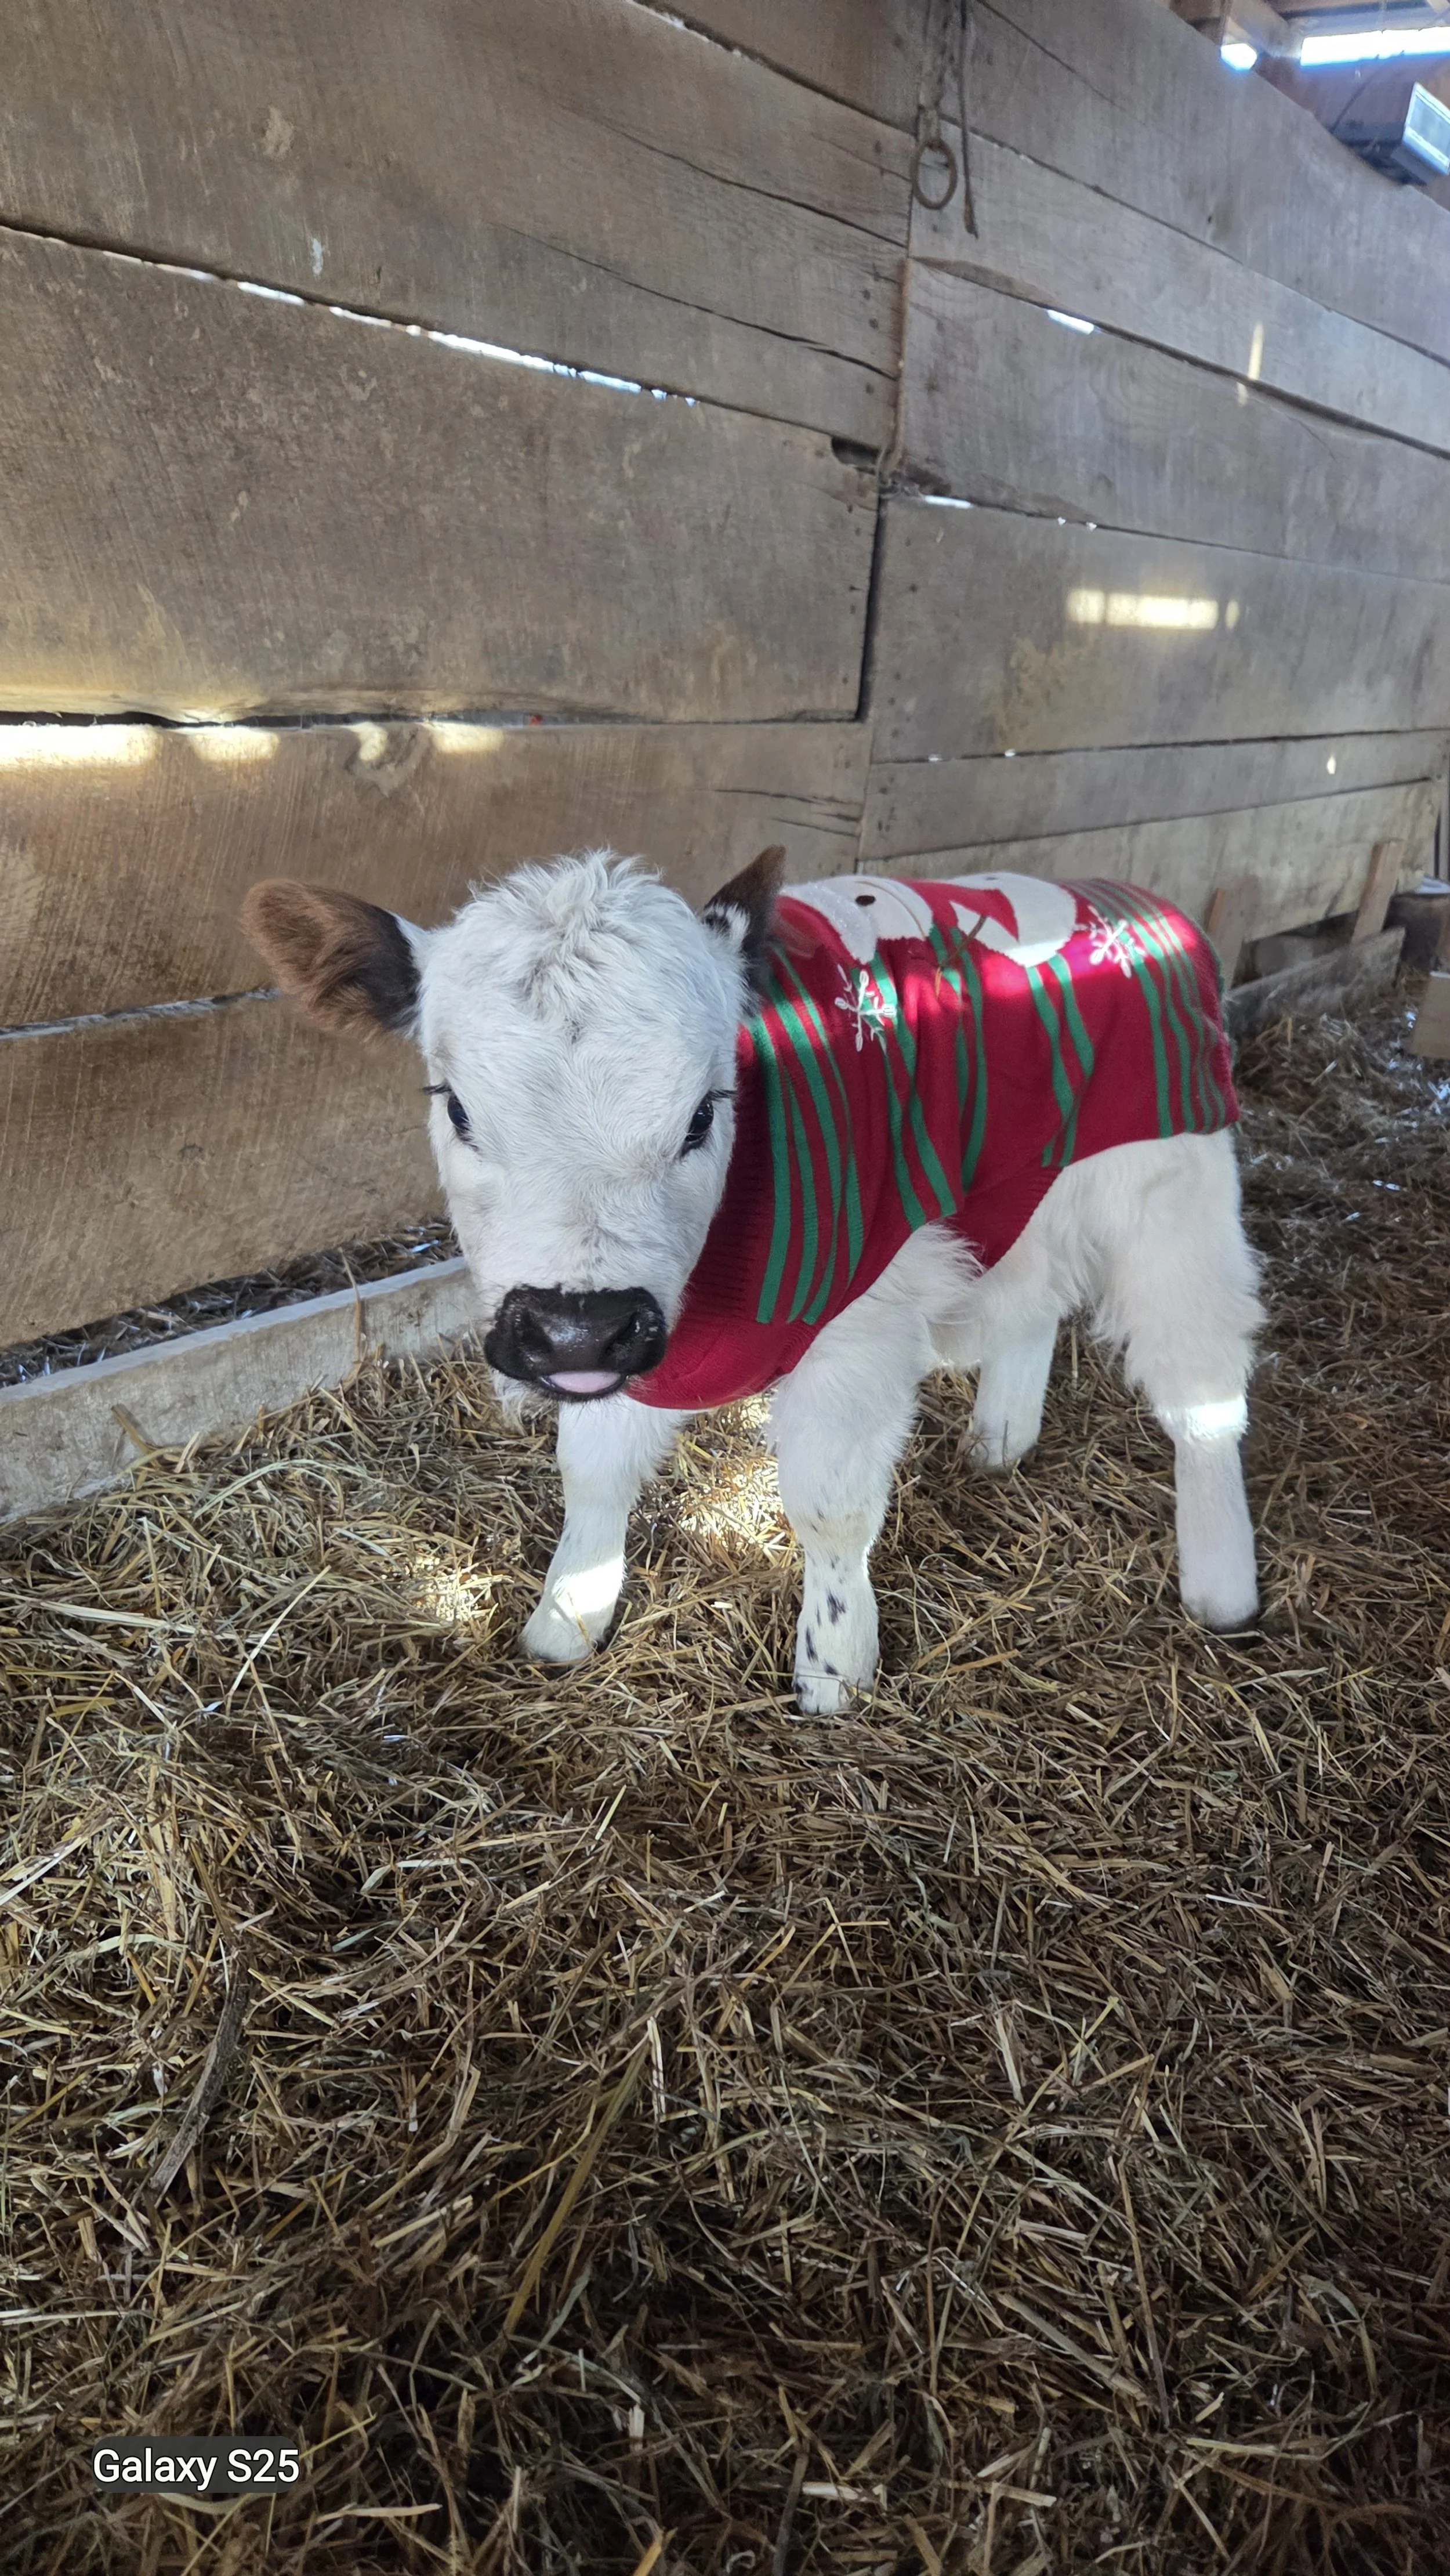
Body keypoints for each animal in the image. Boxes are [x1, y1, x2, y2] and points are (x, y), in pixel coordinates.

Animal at [242, 848, 1262, 1713]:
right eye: (456, 1108)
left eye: (705, 1112)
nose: (578, 1326)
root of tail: (1129, 895)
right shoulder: (619, 1357)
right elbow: (592, 1476)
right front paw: (567, 1617)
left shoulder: (860, 1330)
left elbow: (831, 1511)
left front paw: (835, 1669)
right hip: (1019, 1178)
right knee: (1036, 1296)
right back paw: (1003, 1436)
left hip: (1173, 1183)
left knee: (1202, 1384)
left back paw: (1221, 1583)